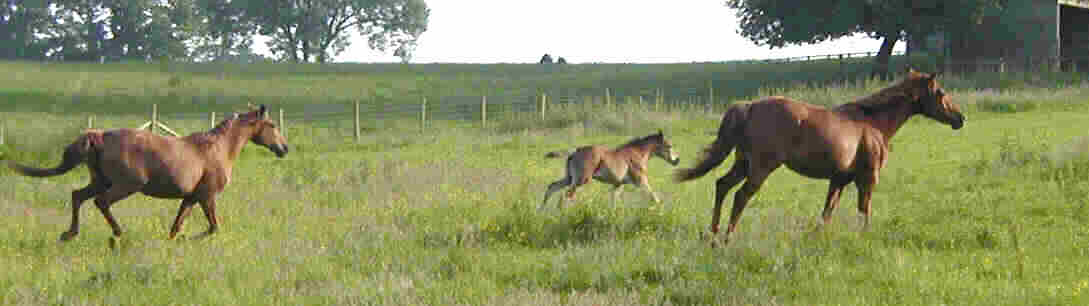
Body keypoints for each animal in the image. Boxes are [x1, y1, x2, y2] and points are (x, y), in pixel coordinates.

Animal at [7, 104, 289, 242]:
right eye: (272, 125)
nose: (284, 148)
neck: (219, 148)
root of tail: (98, 136)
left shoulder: (190, 198)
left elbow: (176, 226)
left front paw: (176, 240)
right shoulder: (207, 197)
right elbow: (213, 227)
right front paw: (189, 239)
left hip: (100, 181)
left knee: (77, 196)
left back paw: (69, 234)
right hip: (126, 185)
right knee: (101, 203)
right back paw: (119, 234)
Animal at [675, 69, 967, 245]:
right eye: (940, 93)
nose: (960, 119)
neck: (872, 124)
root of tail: (749, 107)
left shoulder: (838, 179)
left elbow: (827, 212)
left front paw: (816, 238)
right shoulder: (867, 178)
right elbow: (864, 209)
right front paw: (864, 237)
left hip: (743, 163)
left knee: (722, 185)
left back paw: (713, 234)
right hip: (761, 167)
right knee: (740, 196)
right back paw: (728, 238)